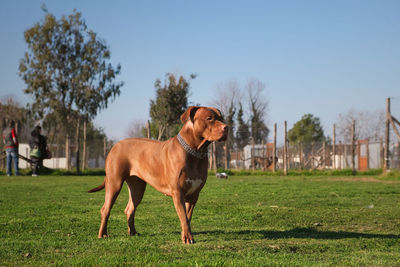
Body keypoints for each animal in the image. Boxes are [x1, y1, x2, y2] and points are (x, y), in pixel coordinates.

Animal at [88, 107, 227, 245]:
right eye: (209, 118)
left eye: (221, 118)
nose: (226, 127)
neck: (195, 152)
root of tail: (115, 145)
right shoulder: (178, 193)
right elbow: (183, 216)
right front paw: (188, 237)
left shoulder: (194, 195)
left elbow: (187, 218)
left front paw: (185, 236)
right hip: (114, 183)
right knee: (105, 209)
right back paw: (102, 234)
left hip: (137, 187)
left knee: (130, 208)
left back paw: (132, 232)